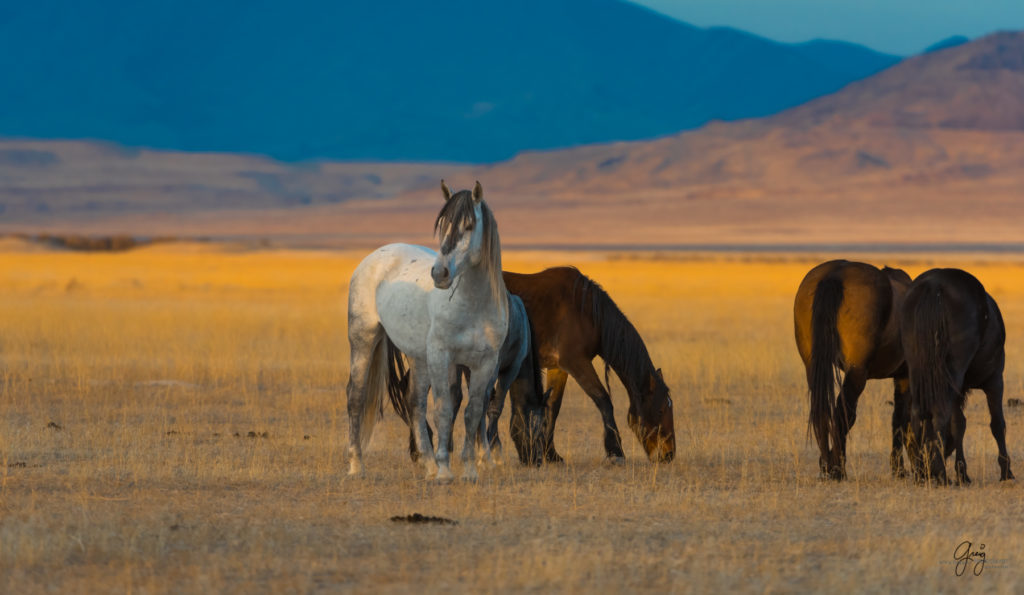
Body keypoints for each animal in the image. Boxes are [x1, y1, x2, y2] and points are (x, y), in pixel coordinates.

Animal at [348, 180, 512, 477]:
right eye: (443, 223)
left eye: (469, 225)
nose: (440, 274)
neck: (473, 305)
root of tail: (376, 255)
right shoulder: (441, 357)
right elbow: (444, 410)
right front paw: (445, 470)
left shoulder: (485, 363)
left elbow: (472, 412)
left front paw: (469, 469)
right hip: (363, 340)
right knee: (356, 397)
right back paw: (356, 466)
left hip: (418, 356)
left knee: (415, 403)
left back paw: (426, 463)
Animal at [491, 266, 675, 460]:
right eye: (661, 410)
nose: (669, 454)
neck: (586, 314)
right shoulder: (576, 362)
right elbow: (603, 400)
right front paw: (615, 451)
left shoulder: (558, 368)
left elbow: (553, 407)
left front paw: (551, 453)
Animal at [790, 259, 913, 477]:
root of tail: (835, 274)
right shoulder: (904, 376)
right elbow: (900, 418)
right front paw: (898, 468)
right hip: (857, 373)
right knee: (844, 413)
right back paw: (837, 469)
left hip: (812, 366)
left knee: (823, 412)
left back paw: (827, 464)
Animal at [901, 266, 1011, 485]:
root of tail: (934, 285)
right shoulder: (995, 380)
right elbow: (997, 424)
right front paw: (1006, 472)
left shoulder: (955, 388)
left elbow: (958, 424)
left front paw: (962, 473)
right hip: (953, 373)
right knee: (940, 415)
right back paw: (941, 474)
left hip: (920, 371)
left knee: (918, 414)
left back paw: (921, 473)